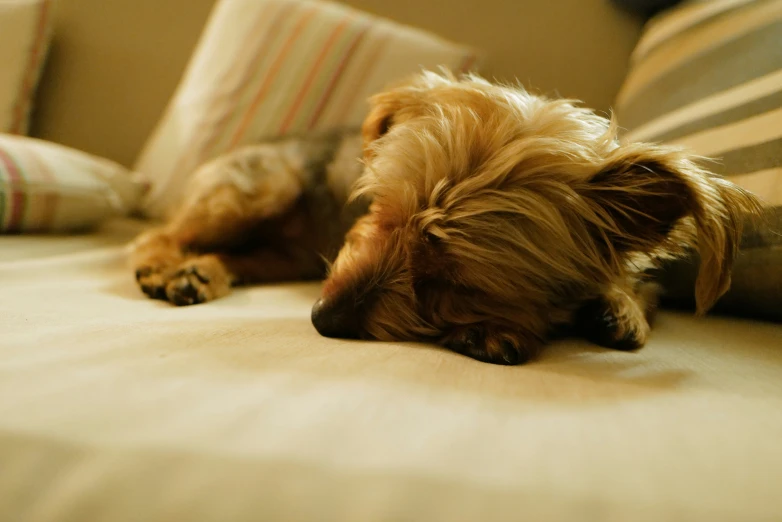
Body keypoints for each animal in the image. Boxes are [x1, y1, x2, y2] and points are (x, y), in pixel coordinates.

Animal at [132, 69, 764, 364]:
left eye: (460, 279)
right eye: (379, 212)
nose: (320, 318)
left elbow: (641, 290)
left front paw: (621, 309)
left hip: (284, 255)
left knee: (237, 256)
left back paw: (203, 272)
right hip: (264, 186)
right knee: (158, 236)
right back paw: (168, 267)